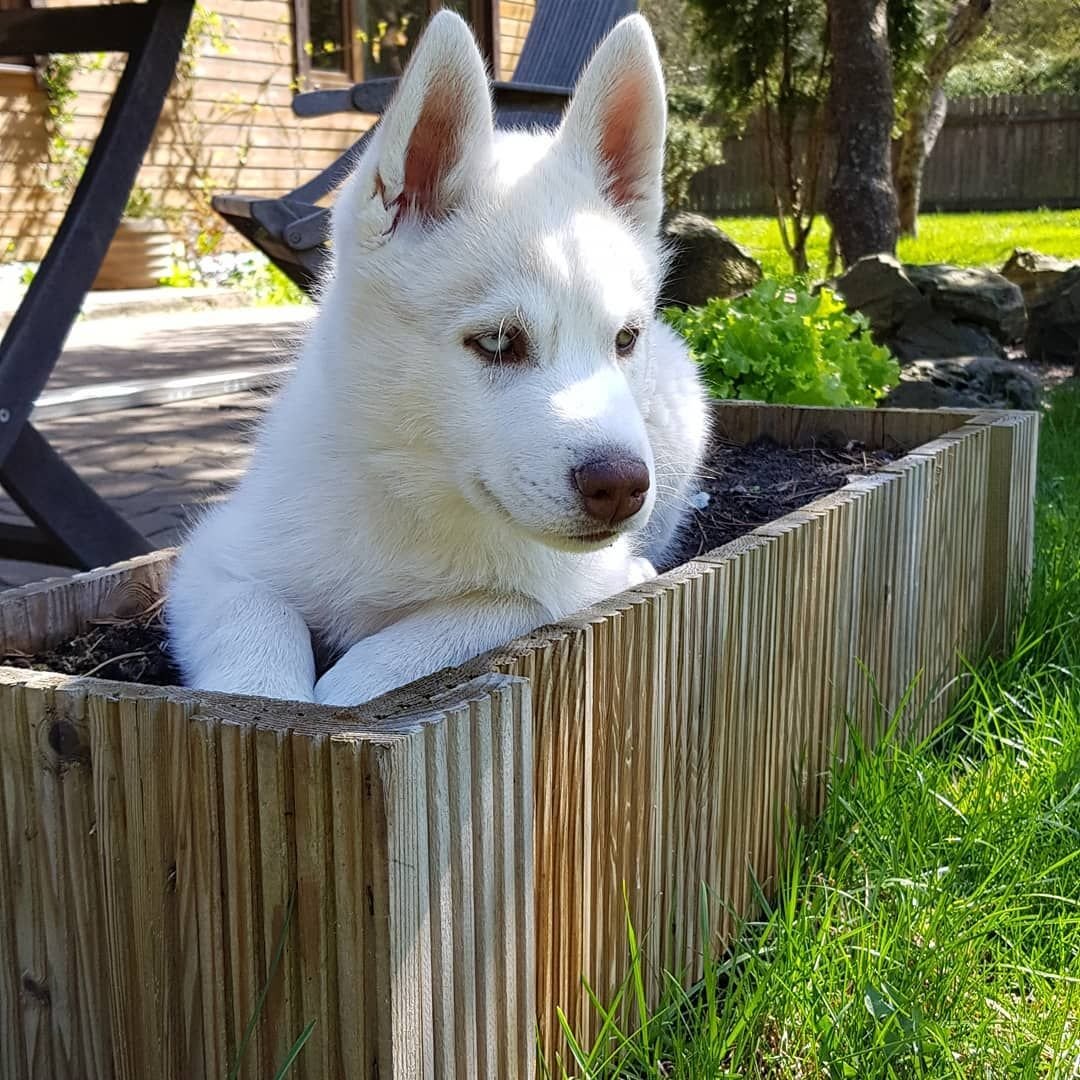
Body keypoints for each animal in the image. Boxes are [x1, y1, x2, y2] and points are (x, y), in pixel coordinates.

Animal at [168, 10, 708, 708]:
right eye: (498, 342)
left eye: (623, 340)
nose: (620, 488)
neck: (416, 492)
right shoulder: (215, 558)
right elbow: (257, 646)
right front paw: (270, 696)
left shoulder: (584, 580)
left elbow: (433, 637)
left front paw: (349, 684)